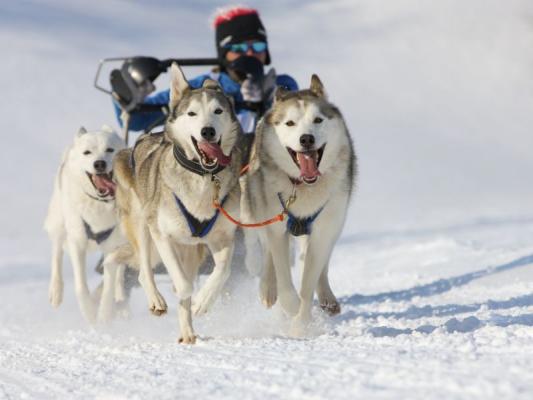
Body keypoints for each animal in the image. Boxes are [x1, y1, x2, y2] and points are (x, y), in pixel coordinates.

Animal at [44, 126, 125, 324]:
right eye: (87, 152)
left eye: (110, 150)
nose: (99, 164)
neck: (100, 205)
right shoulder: (77, 242)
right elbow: (81, 287)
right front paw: (90, 314)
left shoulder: (114, 246)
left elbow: (109, 285)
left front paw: (104, 315)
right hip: (59, 222)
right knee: (56, 252)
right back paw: (56, 291)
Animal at [115, 63, 244, 344]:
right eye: (192, 113)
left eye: (218, 111)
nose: (207, 131)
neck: (203, 177)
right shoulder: (162, 234)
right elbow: (183, 285)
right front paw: (186, 296)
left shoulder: (223, 238)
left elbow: (223, 271)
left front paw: (203, 301)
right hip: (142, 225)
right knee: (144, 271)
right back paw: (157, 300)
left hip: (192, 250)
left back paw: (188, 332)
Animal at [243, 74, 356, 334]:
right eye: (290, 123)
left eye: (318, 120)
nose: (306, 139)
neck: (303, 186)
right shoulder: (276, 228)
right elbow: (284, 278)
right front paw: (291, 305)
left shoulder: (323, 231)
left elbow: (308, 282)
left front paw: (301, 325)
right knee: (267, 254)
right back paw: (267, 289)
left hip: (332, 226)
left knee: (320, 264)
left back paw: (327, 298)